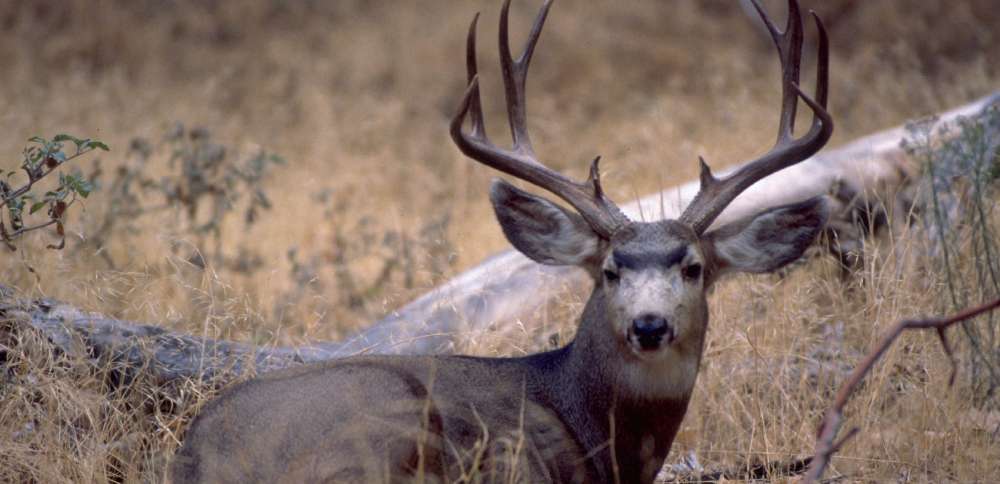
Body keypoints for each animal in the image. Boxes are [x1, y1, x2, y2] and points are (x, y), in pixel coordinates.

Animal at [170, 0, 831, 482]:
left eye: (693, 267)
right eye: (610, 270)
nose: (649, 325)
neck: (592, 424)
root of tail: (200, 455)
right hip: (380, 428)